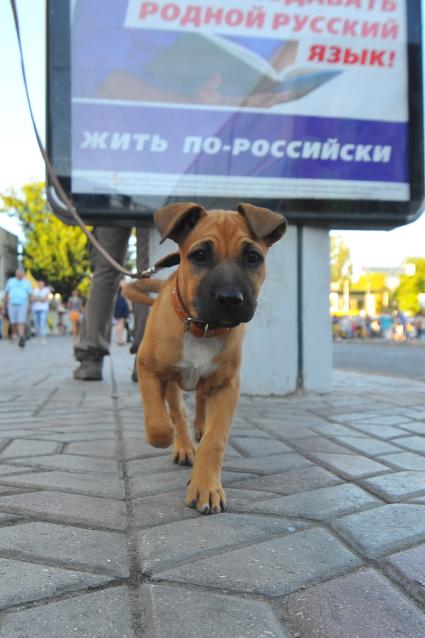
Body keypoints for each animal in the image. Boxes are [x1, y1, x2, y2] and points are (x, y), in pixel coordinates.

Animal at [124, 205, 286, 516]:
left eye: (253, 257)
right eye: (199, 255)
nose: (230, 299)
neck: (203, 327)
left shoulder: (226, 387)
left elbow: (215, 439)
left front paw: (206, 486)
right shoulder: (148, 368)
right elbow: (159, 419)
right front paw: (166, 439)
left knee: (199, 401)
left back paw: (198, 428)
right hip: (171, 381)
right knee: (177, 410)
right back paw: (183, 444)